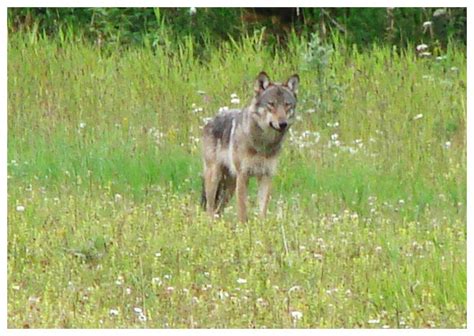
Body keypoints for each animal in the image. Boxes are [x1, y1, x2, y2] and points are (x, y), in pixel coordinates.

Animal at [201, 72, 298, 222]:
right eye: (271, 104)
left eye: (287, 105)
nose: (283, 124)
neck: (263, 144)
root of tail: (210, 120)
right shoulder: (243, 175)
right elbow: (242, 210)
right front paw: (243, 227)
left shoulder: (266, 176)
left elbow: (262, 210)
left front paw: (262, 226)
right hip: (215, 178)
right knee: (210, 208)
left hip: (229, 186)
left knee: (218, 209)